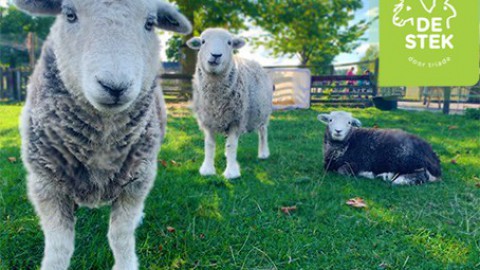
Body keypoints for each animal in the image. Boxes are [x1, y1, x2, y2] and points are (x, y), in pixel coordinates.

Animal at [15, 1, 191, 268]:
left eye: (150, 23)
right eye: (70, 14)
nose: (115, 87)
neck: (101, 144)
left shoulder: (136, 182)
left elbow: (120, 236)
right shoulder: (46, 184)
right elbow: (59, 246)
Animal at [187, 28, 272, 179]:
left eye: (229, 43)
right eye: (203, 41)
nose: (216, 55)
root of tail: (255, 62)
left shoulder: (236, 119)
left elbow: (231, 145)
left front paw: (231, 172)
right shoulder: (208, 120)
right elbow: (209, 145)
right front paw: (207, 169)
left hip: (262, 112)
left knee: (263, 132)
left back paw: (263, 153)